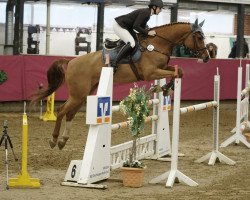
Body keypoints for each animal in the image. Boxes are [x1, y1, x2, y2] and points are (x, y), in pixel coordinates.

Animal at [32, 19, 210, 149]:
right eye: (199, 37)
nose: (207, 57)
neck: (157, 45)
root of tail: (71, 62)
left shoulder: (162, 68)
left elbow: (179, 72)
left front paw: (164, 88)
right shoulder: (151, 72)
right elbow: (174, 73)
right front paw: (163, 88)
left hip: (83, 94)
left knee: (70, 114)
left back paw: (63, 141)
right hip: (78, 94)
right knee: (62, 111)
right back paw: (54, 140)